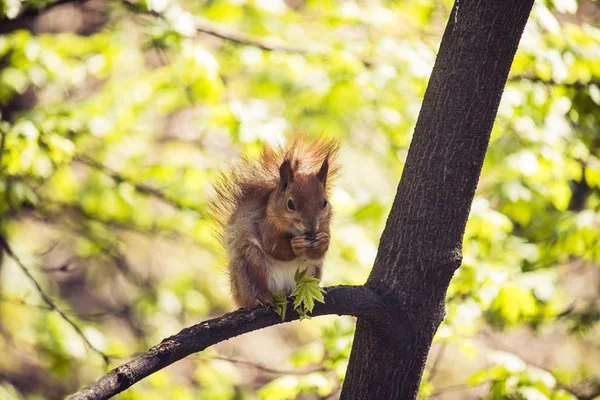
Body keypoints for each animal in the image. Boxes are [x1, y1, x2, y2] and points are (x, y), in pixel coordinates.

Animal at [210, 136, 342, 308]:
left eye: (325, 202)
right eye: (290, 204)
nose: (312, 231)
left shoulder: (324, 225)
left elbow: (317, 253)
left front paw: (323, 241)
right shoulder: (266, 225)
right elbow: (275, 248)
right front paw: (295, 244)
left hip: (313, 272)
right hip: (252, 262)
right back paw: (260, 297)